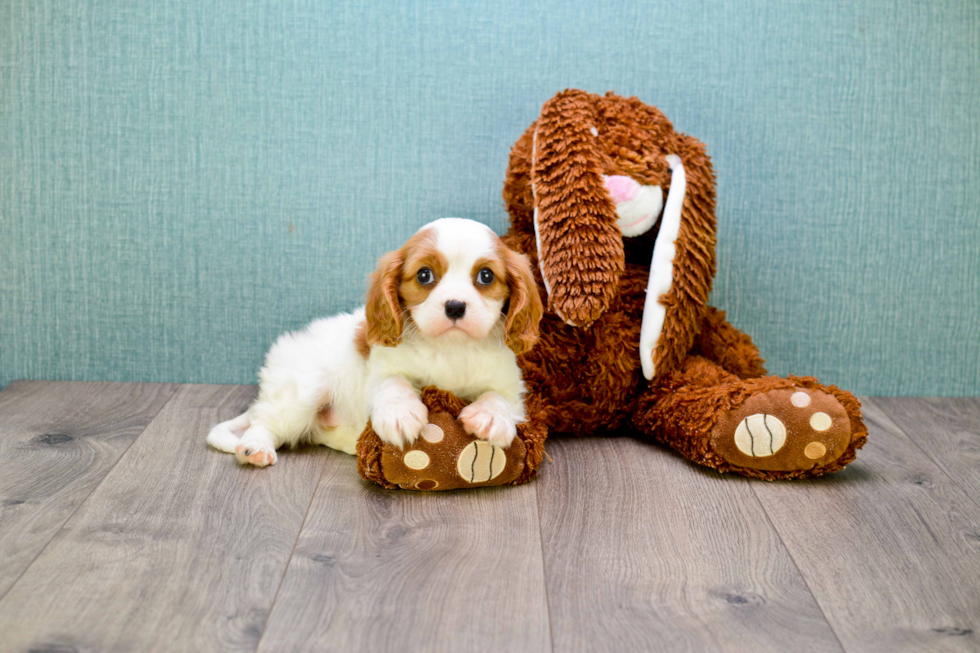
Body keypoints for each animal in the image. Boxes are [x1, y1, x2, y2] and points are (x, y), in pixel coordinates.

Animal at [208, 218, 544, 464]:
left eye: (486, 276)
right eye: (424, 275)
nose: (455, 306)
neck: (450, 348)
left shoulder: (511, 387)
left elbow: (498, 397)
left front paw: (489, 417)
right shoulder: (380, 369)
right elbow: (394, 382)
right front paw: (400, 414)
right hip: (302, 391)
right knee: (265, 423)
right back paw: (255, 447)